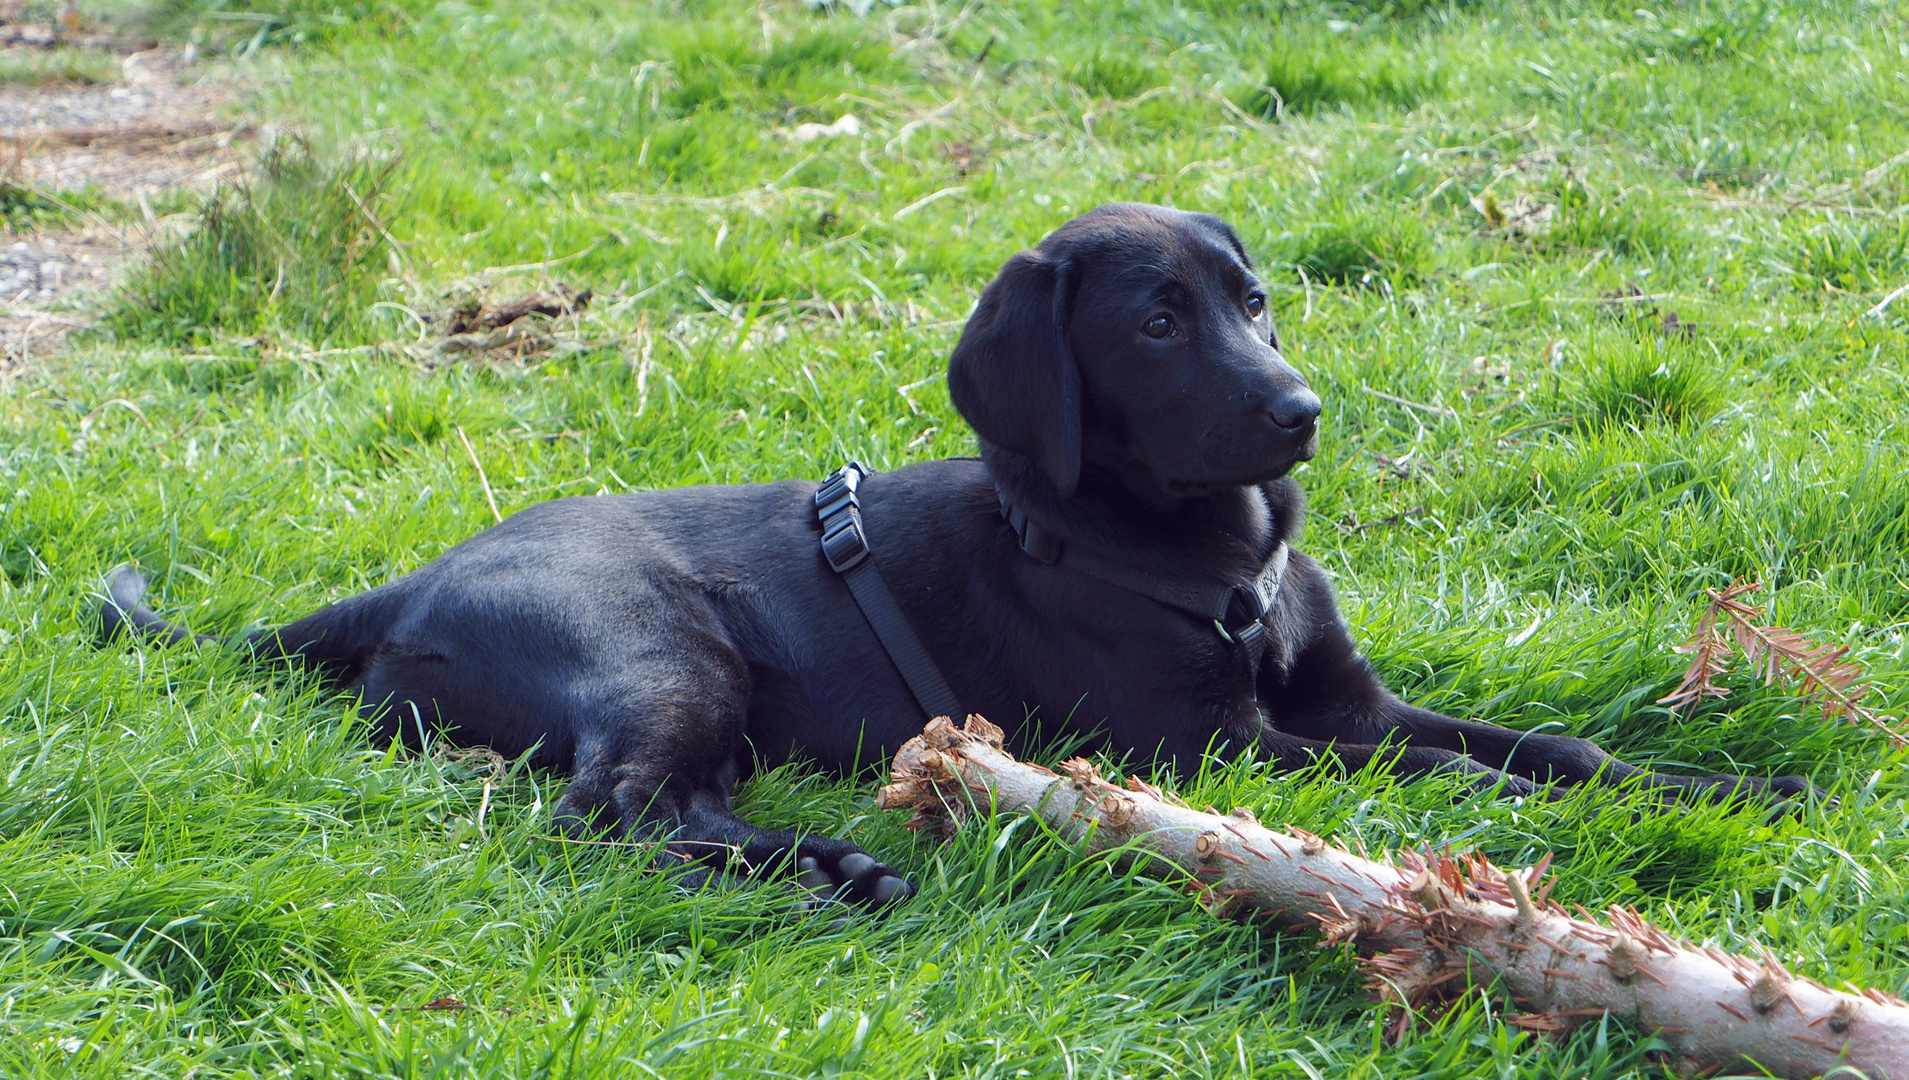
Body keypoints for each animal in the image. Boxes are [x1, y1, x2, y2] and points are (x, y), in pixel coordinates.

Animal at [100, 201, 1802, 904]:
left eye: (1252, 299)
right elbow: (1459, 775)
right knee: (604, 816)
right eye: (1156, 322)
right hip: (656, 654)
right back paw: (821, 883)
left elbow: (1545, 747)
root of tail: (414, 577)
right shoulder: (1227, 751)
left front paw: (1722, 787)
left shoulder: (1344, 704)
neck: (1206, 559)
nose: (1302, 414)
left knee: (673, 807)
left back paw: (836, 863)